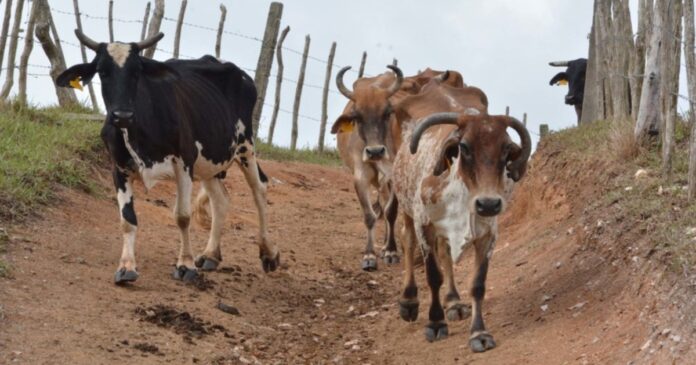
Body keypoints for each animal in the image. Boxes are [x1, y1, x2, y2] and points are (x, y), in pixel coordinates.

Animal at [55, 29, 280, 284]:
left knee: (259, 188)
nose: (122, 115)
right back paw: (211, 254)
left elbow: (182, 216)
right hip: (209, 162)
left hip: (245, 145)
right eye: (102, 71)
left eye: (137, 71)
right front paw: (126, 267)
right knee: (221, 200)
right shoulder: (118, 167)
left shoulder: (184, 162)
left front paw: (185, 265)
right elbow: (127, 220)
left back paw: (268, 253)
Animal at [328, 65, 460, 270]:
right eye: (357, 116)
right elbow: (369, 215)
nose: (375, 151)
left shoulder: (395, 175)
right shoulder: (360, 175)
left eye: (386, 113)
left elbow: (390, 212)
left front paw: (390, 250)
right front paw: (369, 256)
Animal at [392, 78, 532, 352]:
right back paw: (409, 300)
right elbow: (433, 275)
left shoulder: (488, 234)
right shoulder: (424, 224)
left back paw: (453, 301)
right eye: (464, 147)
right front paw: (436, 323)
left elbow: (477, 284)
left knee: (445, 254)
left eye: (506, 149)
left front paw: (479, 332)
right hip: (406, 208)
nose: (488, 204)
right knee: (407, 242)